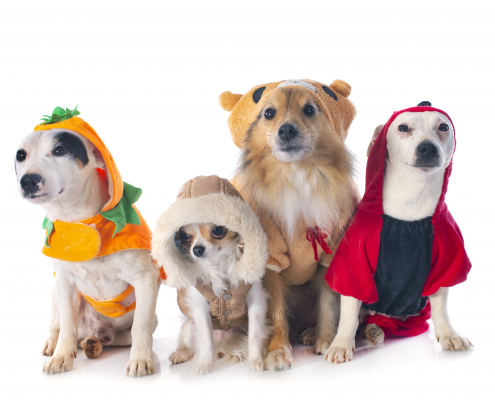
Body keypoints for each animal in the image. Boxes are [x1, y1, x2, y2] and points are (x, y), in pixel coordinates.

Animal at [229, 79, 360, 370]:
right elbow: (277, 312)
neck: (297, 176)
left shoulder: (329, 254)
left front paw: (326, 338)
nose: (287, 129)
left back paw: (311, 332)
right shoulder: (272, 261)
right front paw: (278, 350)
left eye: (310, 110)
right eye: (268, 113)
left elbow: (328, 304)